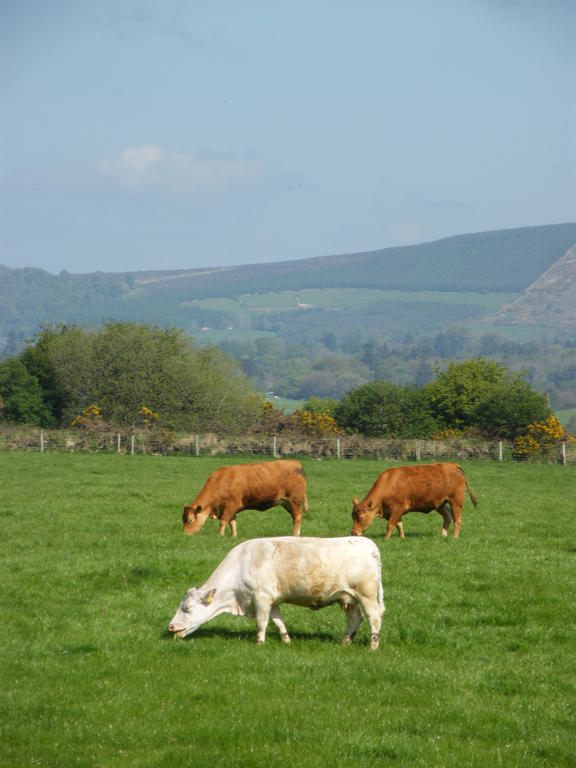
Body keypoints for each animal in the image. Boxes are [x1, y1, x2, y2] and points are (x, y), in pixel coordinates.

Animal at [168, 536, 382, 652]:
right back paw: (345, 642)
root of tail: (368, 544)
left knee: (374, 617)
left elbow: (261, 623)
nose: (170, 627)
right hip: (348, 599)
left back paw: (372, 646)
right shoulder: (273, 600)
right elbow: (278, 621)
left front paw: (259, 643)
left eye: (187, 608)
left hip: (367, 595)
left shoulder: (261, 598)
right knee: (354, 619)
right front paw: (286, 640)